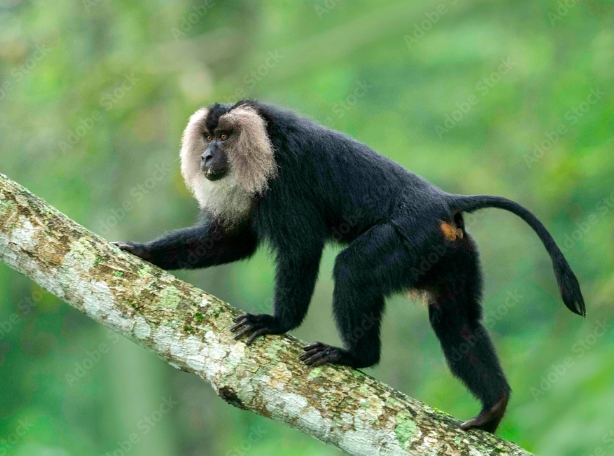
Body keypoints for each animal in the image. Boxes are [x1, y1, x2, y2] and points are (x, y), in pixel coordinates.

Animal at [113, 100, 588, 434]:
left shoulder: (287, 182)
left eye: (226, 137)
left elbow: (301, 250)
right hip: (451, 253)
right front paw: (145, 252)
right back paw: (495, 405)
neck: (266, 143)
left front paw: (277, 323)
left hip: (412, 237)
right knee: (456, 321)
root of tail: (443, 202)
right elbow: (231, 240)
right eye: (209, 136)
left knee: (353, 271)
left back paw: (357, 356)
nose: (208, 156)